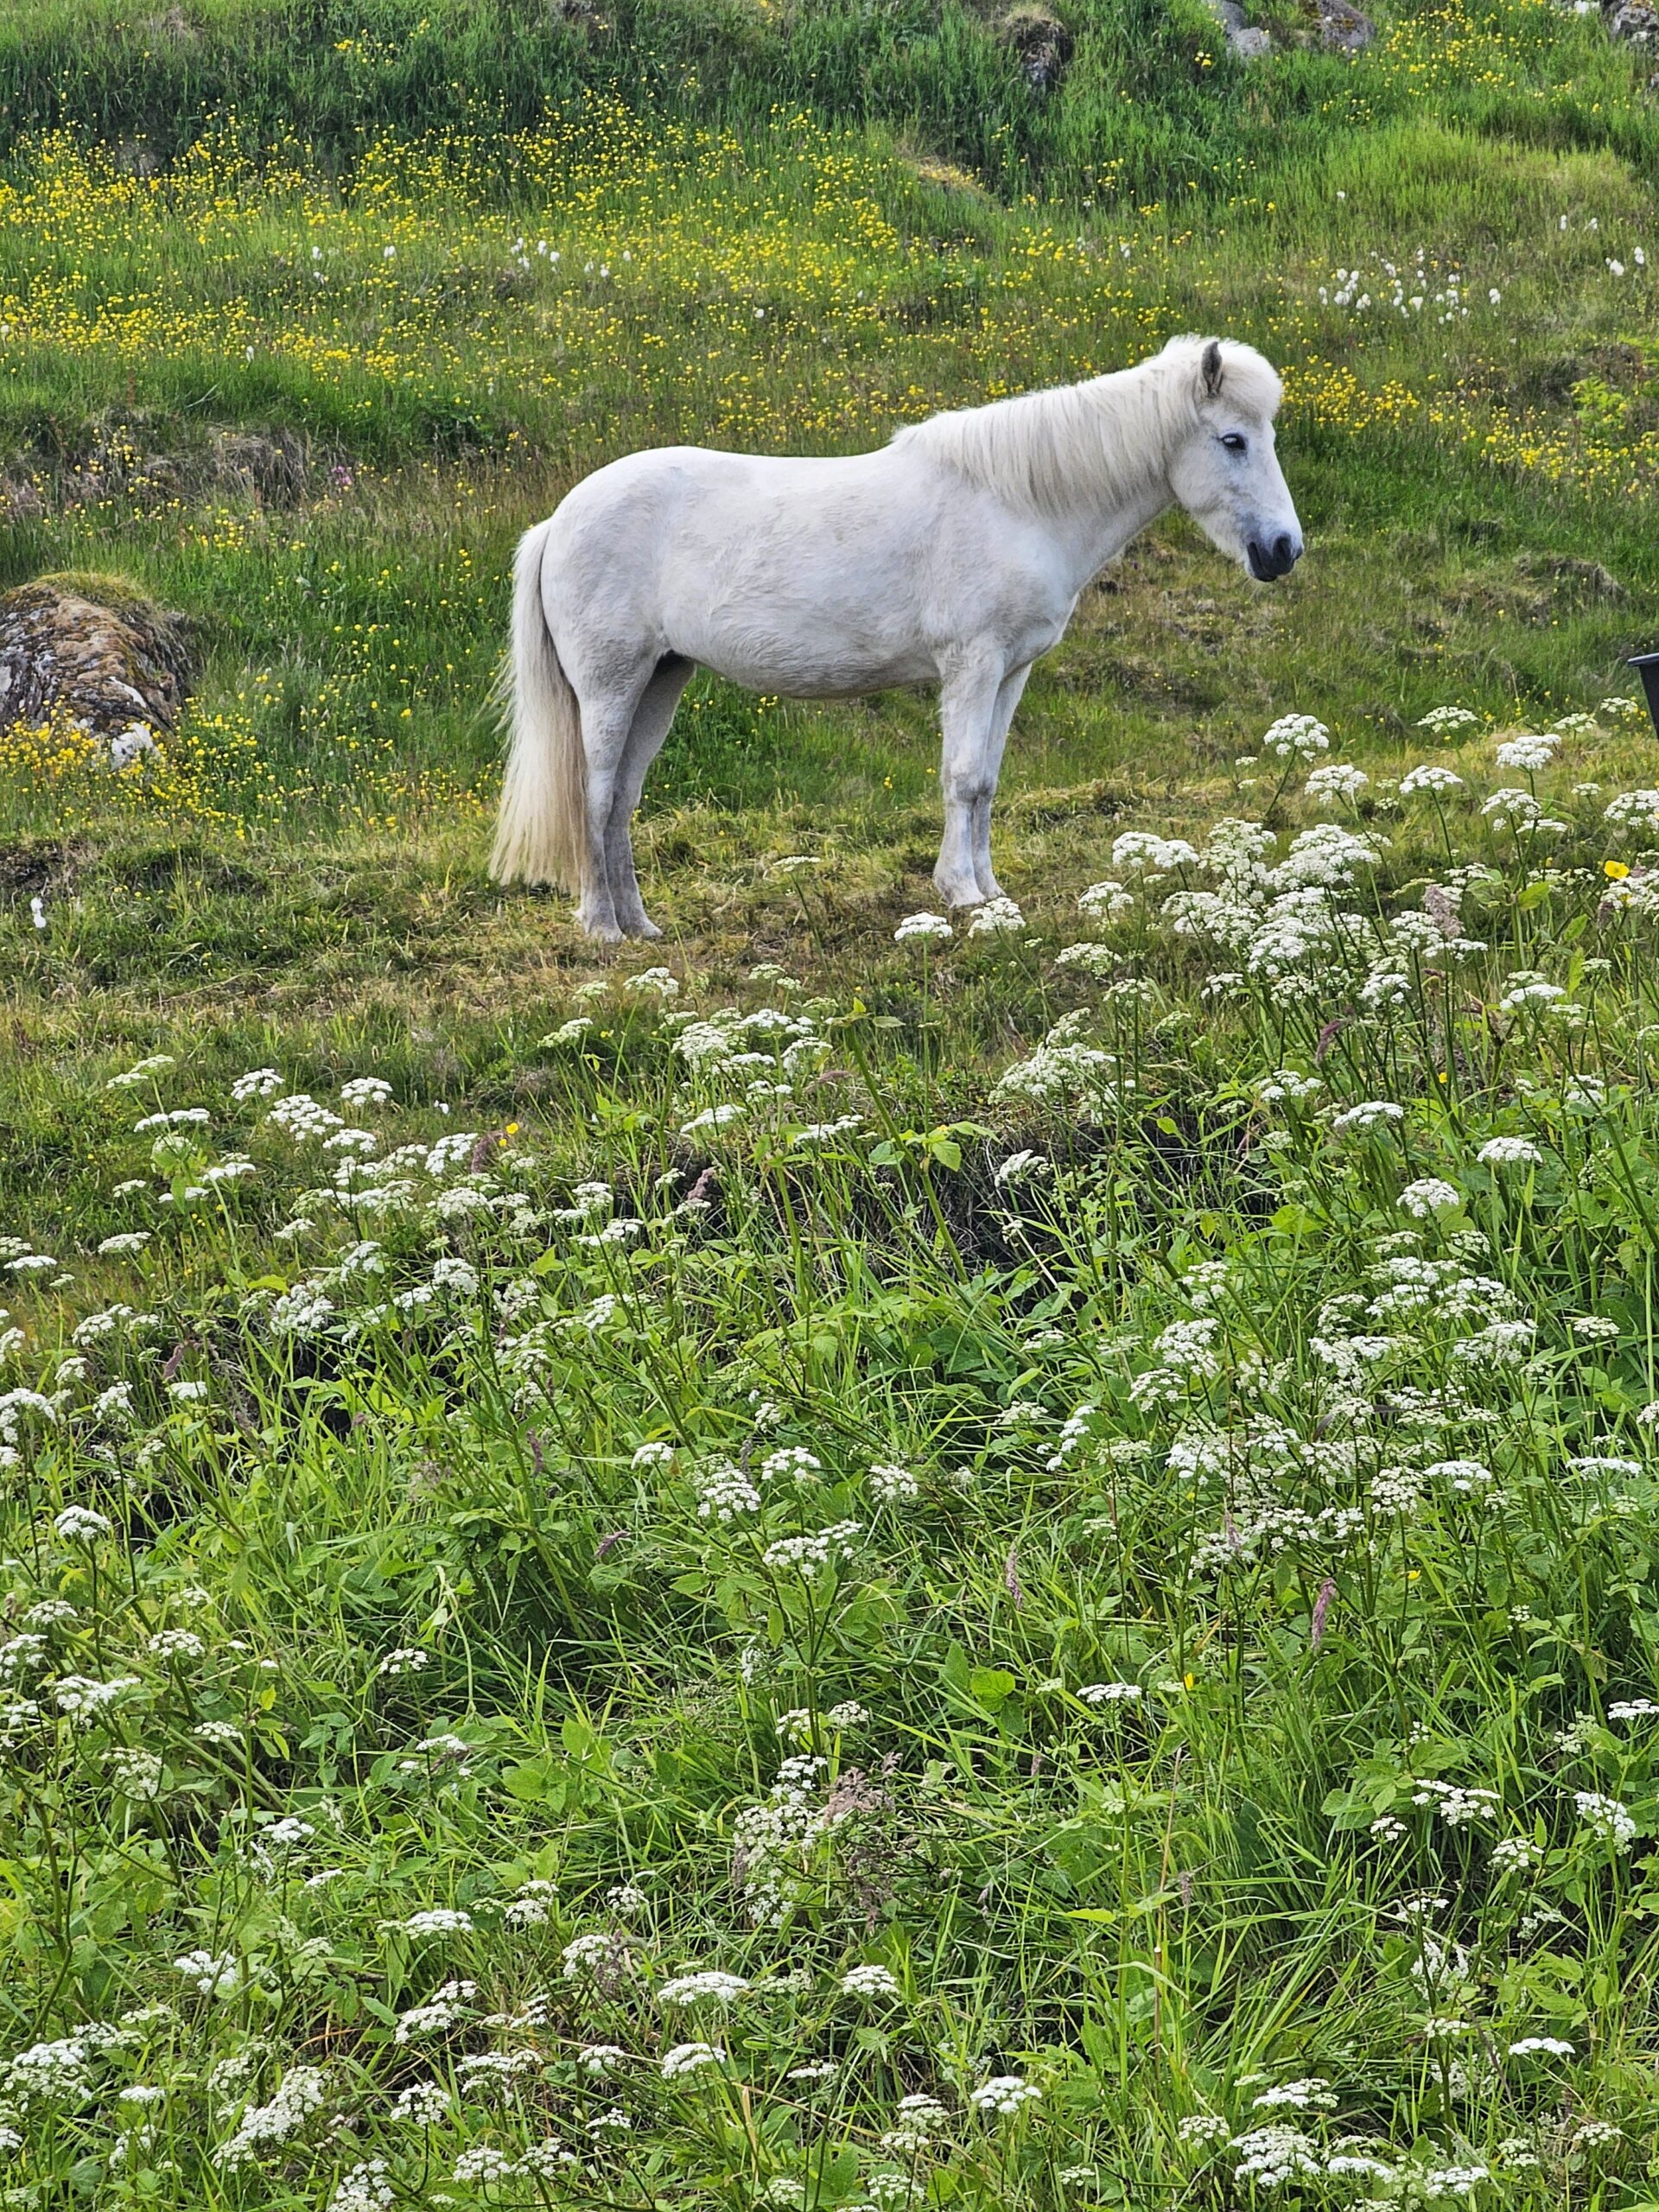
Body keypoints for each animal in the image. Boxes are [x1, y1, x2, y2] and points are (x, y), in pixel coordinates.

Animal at [491, 333, 1303, 941]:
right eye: (1233, 440)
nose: (1283, 550)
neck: (1019, 504)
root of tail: (559, 519)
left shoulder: (1010, 672)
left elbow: (987, 782)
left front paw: (991, 890)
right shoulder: (972, 664)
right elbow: (964, 776)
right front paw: (962, 894)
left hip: (663, 677)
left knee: (622, 799)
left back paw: (641, 925)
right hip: (611, 684)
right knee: (595, 795)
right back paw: (602, 927)